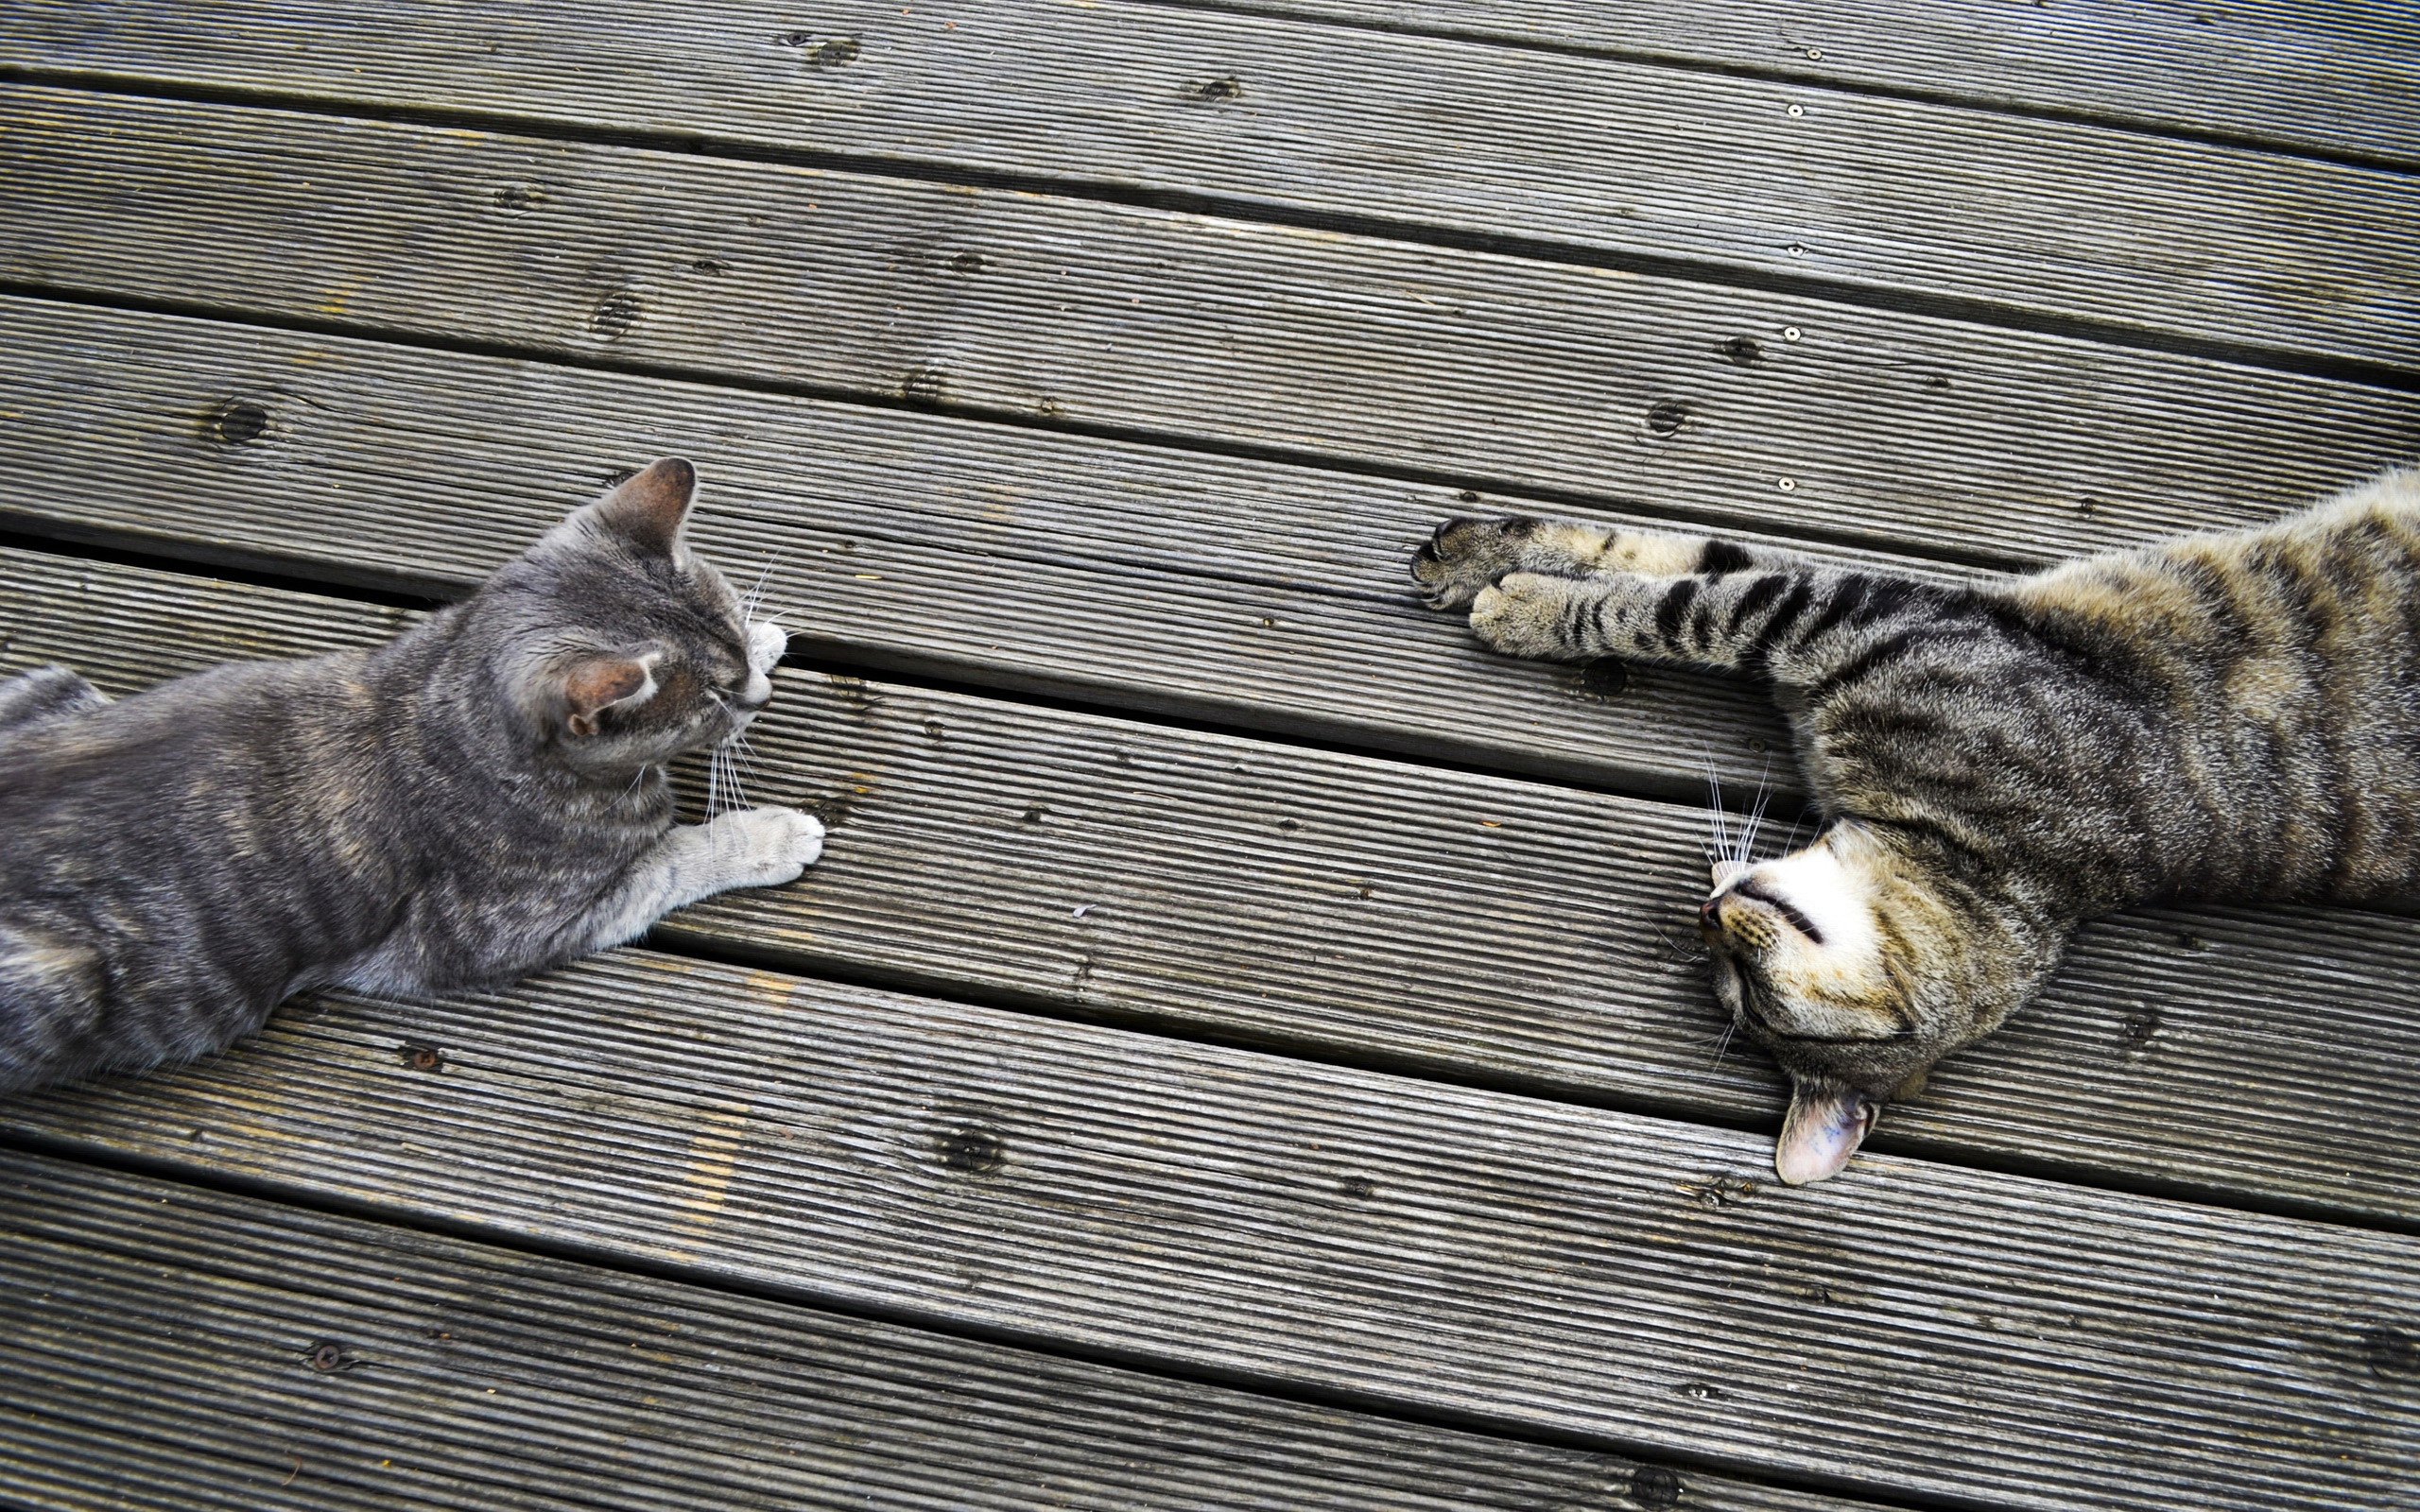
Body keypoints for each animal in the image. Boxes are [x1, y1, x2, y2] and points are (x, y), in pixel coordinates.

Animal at [0, 456, 822, 1083]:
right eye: (714, 698)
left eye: (731, 648)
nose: (758, 694)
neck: (447, 705)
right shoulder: (498, 933)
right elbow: (678, 856)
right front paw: (771, 835)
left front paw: (765, 635)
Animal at [1413, 467, 2420, 1185]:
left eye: (1747, 993)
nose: (1703, 915)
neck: (1979, 854)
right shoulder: (1840, 602)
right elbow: (1667, 554)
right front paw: (1476, 558)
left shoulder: (1836, 612)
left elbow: (1668, 604)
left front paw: (1523, 604)